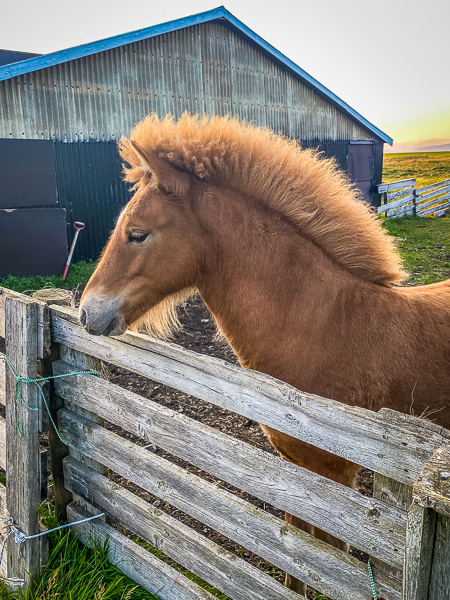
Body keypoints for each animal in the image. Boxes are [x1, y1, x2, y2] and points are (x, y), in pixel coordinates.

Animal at [79, 112, 450, 596]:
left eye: (136, 234)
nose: (86, 311)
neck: (331, 326)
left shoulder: (337, 478)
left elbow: (327, 561)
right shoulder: (297, 469)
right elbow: (295, 551)